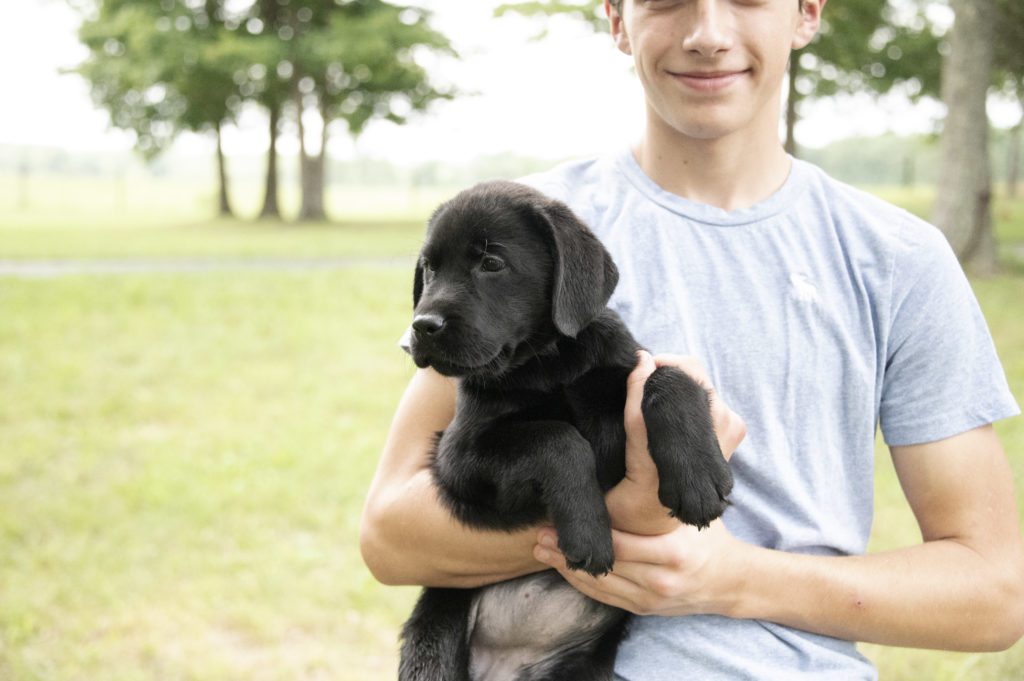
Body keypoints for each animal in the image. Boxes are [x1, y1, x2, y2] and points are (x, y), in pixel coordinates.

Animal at [401, 178, 737, 675]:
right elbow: (556, 437)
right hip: (434, 633)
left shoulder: (626, 371)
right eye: (429, 268)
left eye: (491, 263)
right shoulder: (458, 458)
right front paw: (588, 532)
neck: (548, 364)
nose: (421, 328)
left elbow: (668, 378)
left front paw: (699, 480)